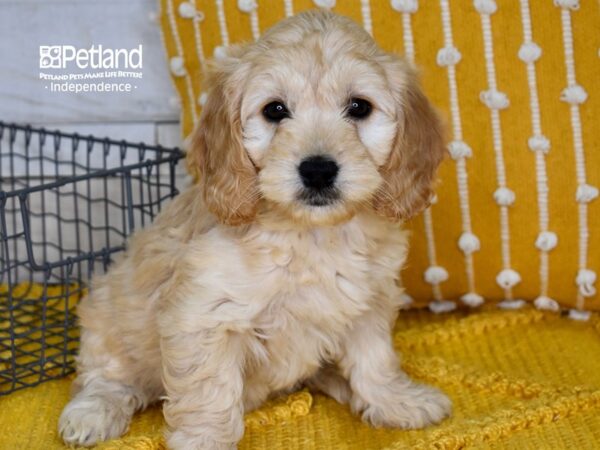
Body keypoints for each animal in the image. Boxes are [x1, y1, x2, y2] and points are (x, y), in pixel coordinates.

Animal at [58, 10, 450, 450]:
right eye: (275, 110)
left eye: (358, 107)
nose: (318, 170)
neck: (310, 235)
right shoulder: (204, 316)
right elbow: (209, 391)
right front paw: (205, 440)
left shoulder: (368, 301)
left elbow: (375, 360)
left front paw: (397, 401)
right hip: (106, 317)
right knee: (106, 378)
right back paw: (94, 412)